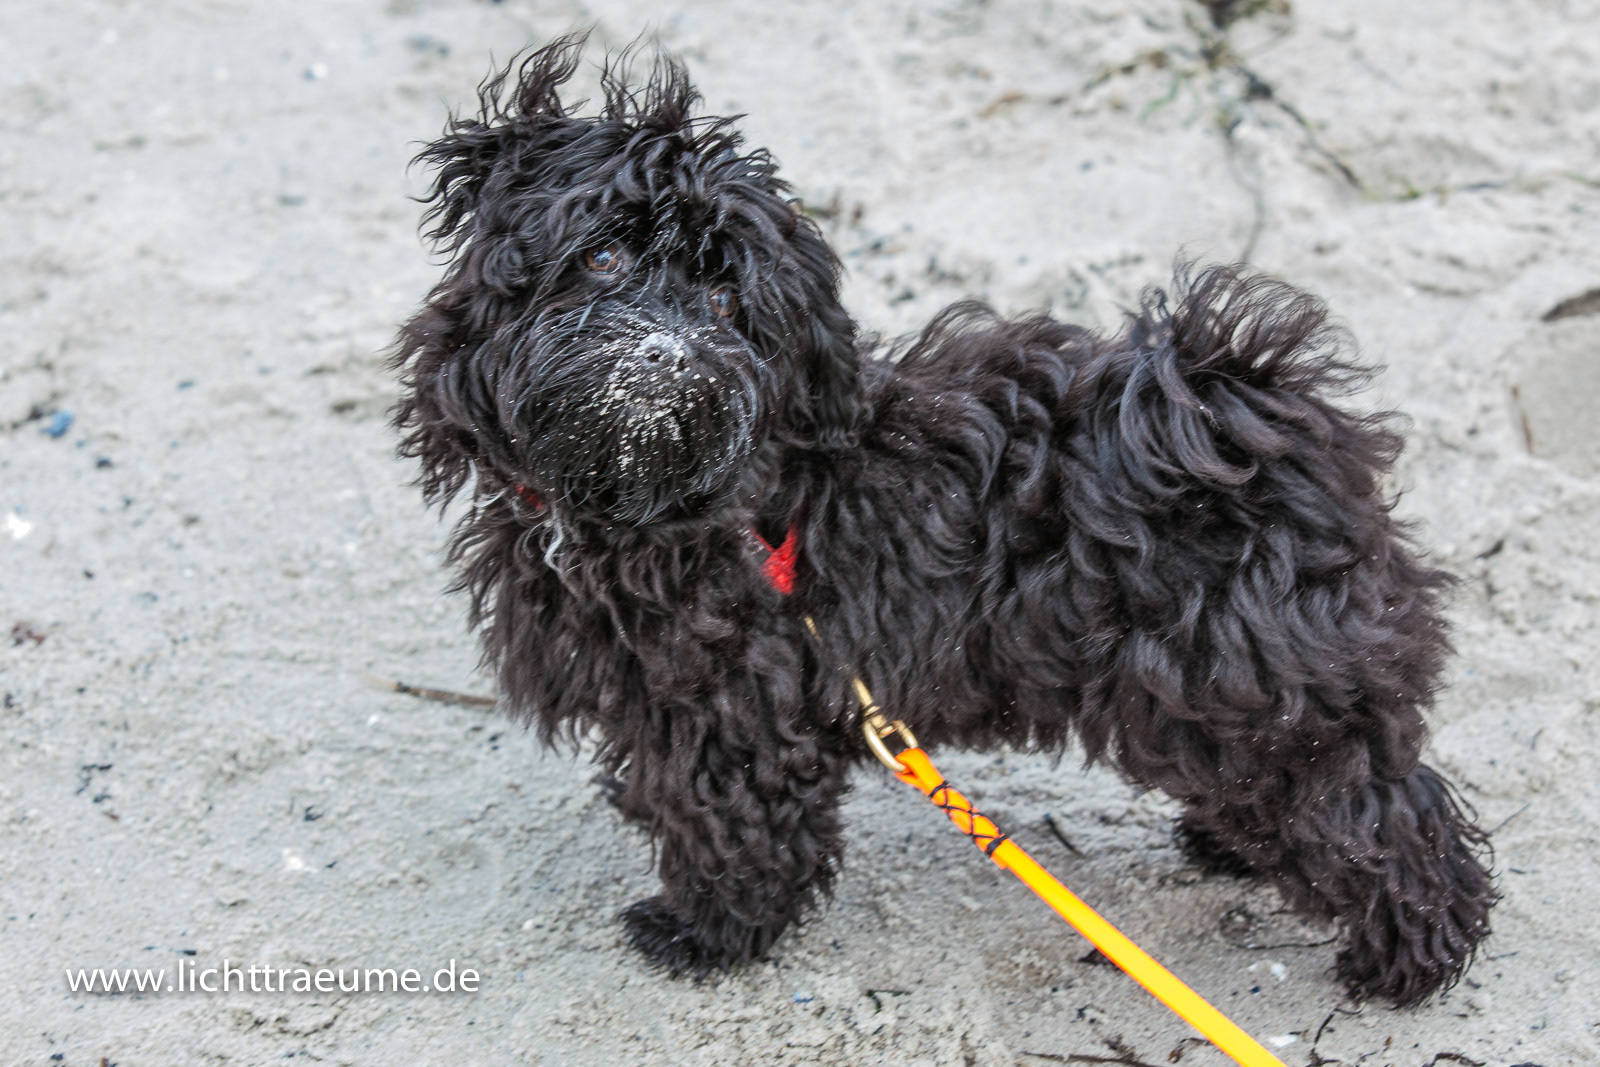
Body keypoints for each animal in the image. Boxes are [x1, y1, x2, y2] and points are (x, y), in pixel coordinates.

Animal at [391, 36, 1495, 1007]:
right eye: (604, 255)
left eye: (726, 299)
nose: (667, 353)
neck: (636, 495)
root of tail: (1247, 402)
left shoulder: (732, 710)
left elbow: (731, 827)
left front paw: (705, 931)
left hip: (1263, 689)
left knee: (1380, 813)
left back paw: (1406, 958)